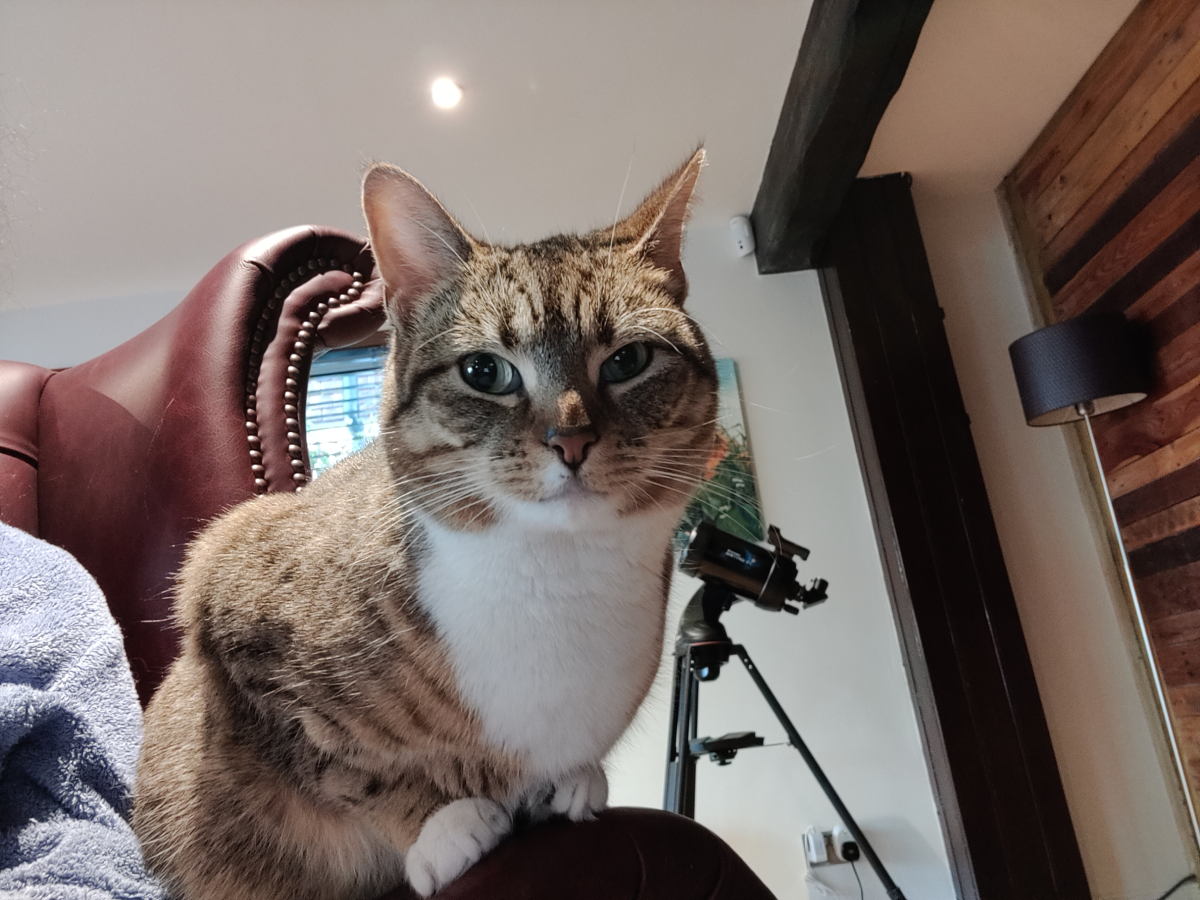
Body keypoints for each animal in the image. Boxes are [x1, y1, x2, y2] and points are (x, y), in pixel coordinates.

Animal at [132, 148, 717, 900]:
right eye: (484, 371)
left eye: (628, 361)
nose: (571, 441)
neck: (555, 576)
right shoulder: (225, 588)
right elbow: (339, 764)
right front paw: (441, 826)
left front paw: (569, 780)